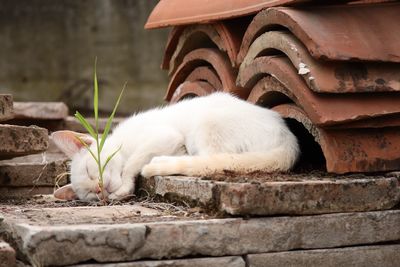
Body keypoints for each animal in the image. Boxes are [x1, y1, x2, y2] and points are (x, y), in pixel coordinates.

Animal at [51, 92, 298, 201]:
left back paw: (159, 163)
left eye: (91, 171)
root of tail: (289, 139)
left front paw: (125, 186)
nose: (100, 189)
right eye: (91, 195)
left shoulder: (164, 136)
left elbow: (131, 164)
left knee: (210, 161)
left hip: (206, 122)